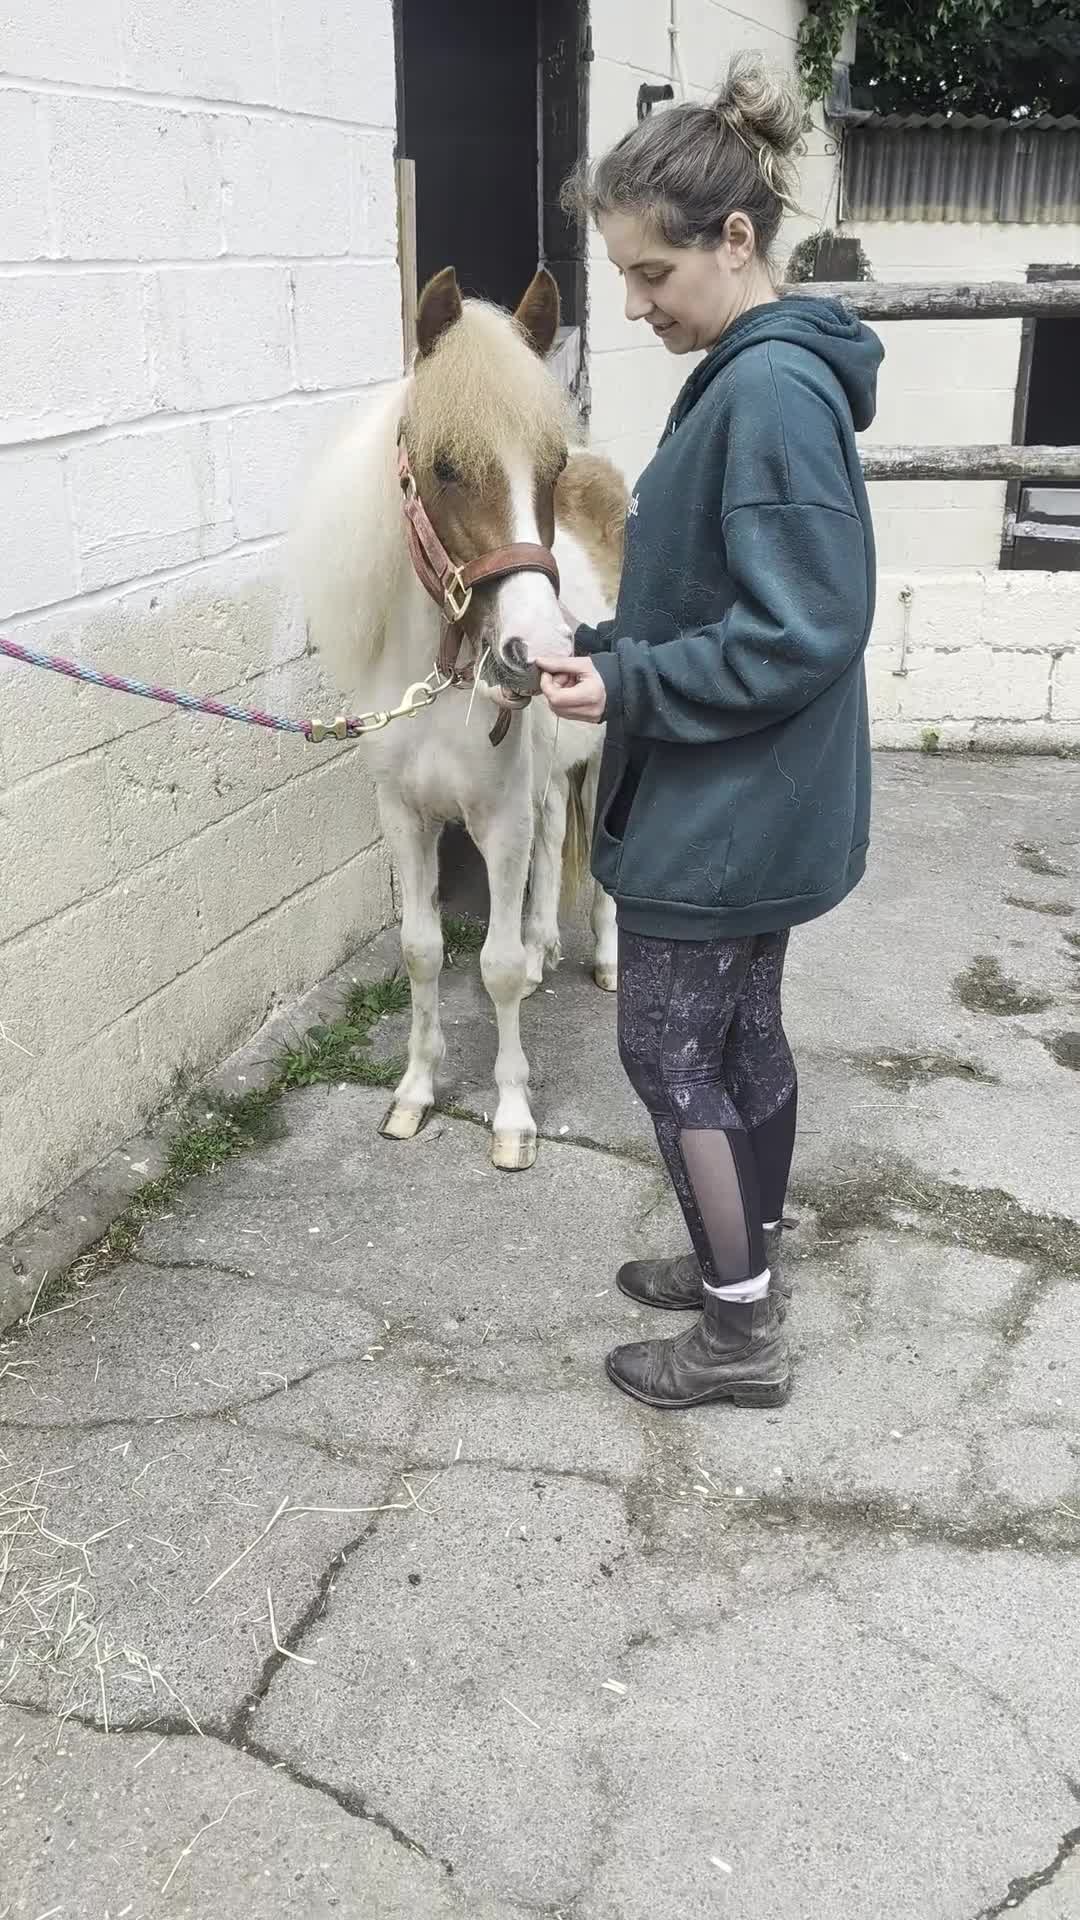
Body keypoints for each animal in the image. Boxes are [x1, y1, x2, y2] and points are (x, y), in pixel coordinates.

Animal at [294, 265, 627, 1171]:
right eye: (443, 467)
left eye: (549, 466)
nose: (537, 654)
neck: (438, 686)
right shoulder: (406, 819)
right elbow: (423, 952)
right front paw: (413, 1093)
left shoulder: (497, 821)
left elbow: (497, 966)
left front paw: (512, 1117)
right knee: (553, 847)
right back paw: (551, 943)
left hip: (602, 759)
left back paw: (605, 959)